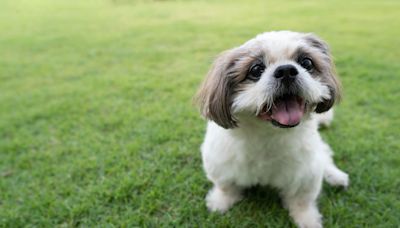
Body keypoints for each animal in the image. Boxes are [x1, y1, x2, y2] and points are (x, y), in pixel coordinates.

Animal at [195, 30, 348, 228]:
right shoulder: (221, 165)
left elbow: (302, 201)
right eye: (256, 70)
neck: (268, 134)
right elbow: (226, 187)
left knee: (325, 156)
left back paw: (336, 176)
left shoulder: (306, 174)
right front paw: (221, 202)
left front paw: (307, 219)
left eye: (307, 63)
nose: (286, 71)